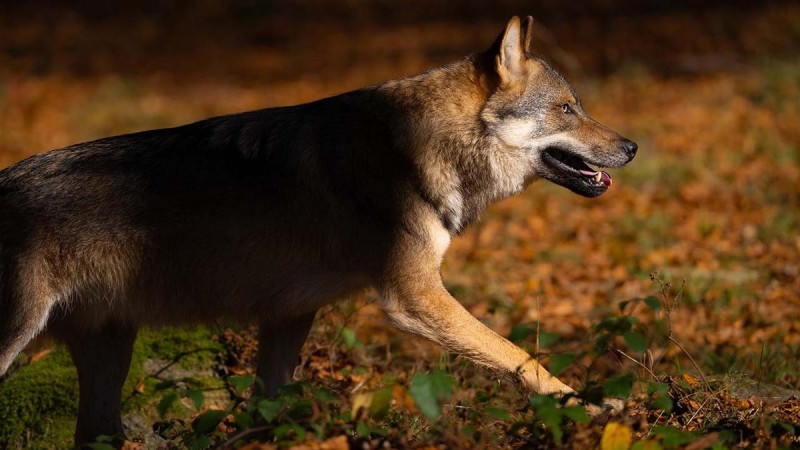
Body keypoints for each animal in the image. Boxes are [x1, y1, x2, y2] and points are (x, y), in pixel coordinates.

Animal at [0, 16, 636, 444]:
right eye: (566, 108)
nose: (631, 146)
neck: (415, 149)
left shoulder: (288, 314)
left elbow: (267, 408)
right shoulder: (413, 297)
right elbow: (519, 356)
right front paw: (594, 411)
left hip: (110, 357)